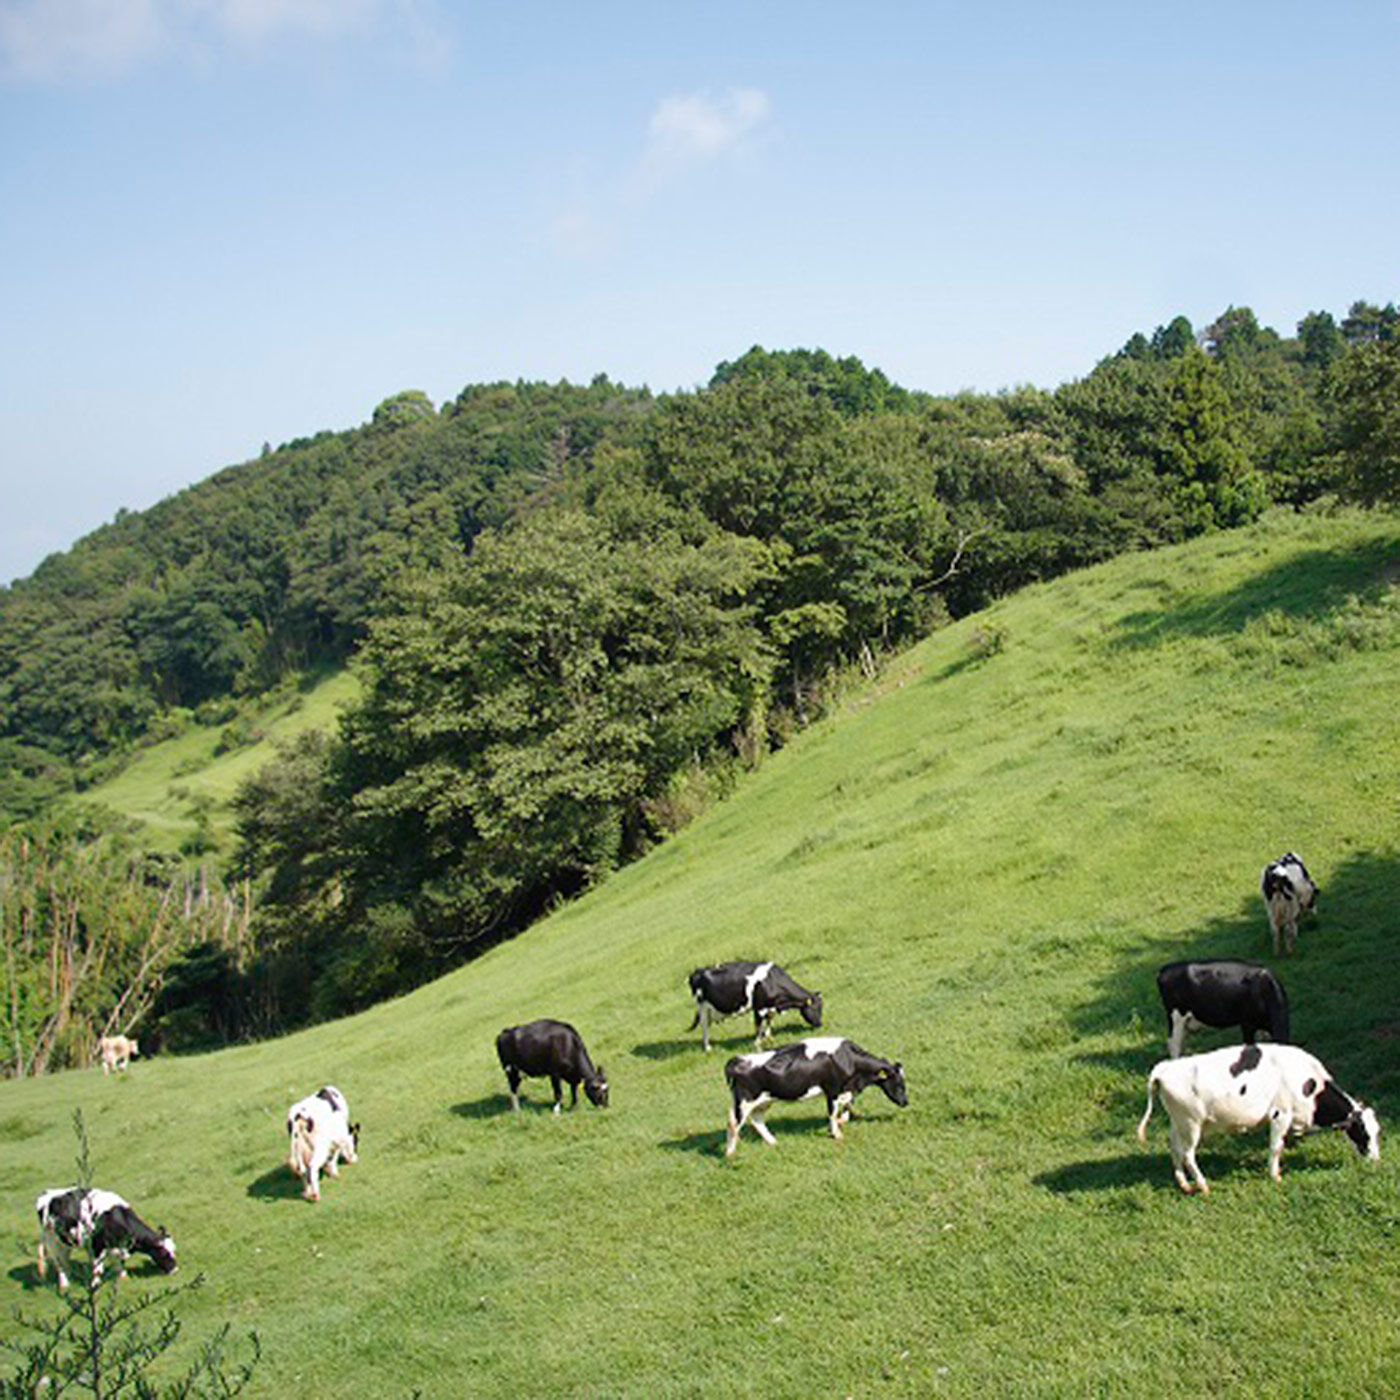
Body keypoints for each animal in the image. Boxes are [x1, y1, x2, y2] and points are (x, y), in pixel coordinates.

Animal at [35, 1187, 176, 1293]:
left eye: (174, 1250)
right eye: (164, 1253)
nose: (175, 1270)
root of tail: (47, 1193)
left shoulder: (116, 1246)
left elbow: (119, 1262)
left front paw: (123, 1277)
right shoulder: (97, 1244)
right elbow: (98, 1269)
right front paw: (94, 1286)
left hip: (67, 1242)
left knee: (65, 1260)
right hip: (53, 1241)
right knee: (59, 1262)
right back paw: (64, 1285)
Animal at [686, 963, 817, 1052]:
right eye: (817, 1008)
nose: (819, 1024)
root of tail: (698, 971)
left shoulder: (769, 1006)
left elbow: (769, 1020)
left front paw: (768, 1036)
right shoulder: (759, 1008)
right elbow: (758, 1026)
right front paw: (757, 1044)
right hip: (702, 1007)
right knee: (704, 1026)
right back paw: (708, 1048)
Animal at [722, 1036, 907, 1153]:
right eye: (899, 1083)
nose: (905, 1102)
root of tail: (737, 1060)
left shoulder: (846, 1089)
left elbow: (848, 1103)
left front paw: (842, 1120)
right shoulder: (832, 1090)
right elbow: (832, 1112)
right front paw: (836, 1133)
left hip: (762, 1101)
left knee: (756, 1119)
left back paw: (773, 1142)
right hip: (745, 1101)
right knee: (734, 1124)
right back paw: (730, 1154)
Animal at [1136, 1041, 1377, 1192]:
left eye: (1377, 1133)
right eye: (1364, 1133)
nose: (1376, 1160)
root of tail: (1164, 1068)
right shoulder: (1280, 1115)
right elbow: (1276, 1147)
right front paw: (1275, 1176)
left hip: (1178, 1123)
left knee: (1174, 1147)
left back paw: (1184, 1184)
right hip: (1191, 1123)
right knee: (1188, 1154)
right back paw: (1203, 1186)